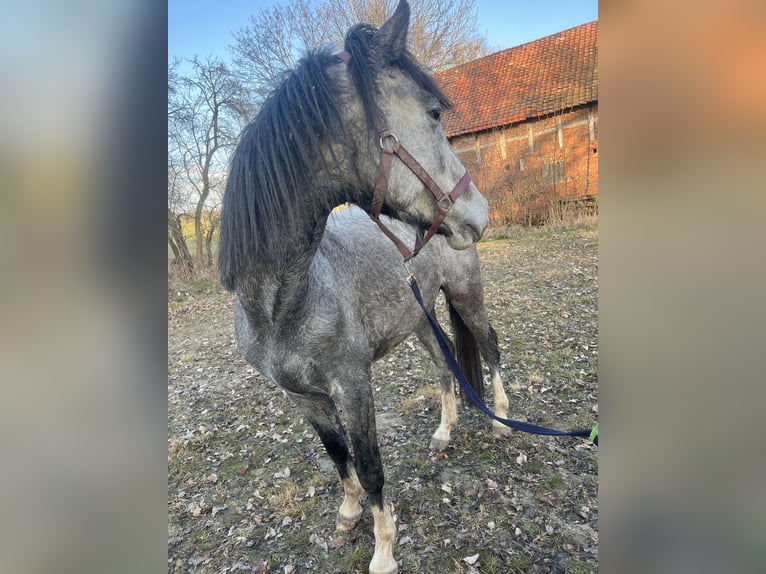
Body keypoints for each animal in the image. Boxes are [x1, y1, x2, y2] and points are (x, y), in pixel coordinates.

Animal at [216, 3, 510, 572]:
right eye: (433, 114)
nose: (480, 212)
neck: (283, 305)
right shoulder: (303, 397)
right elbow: (338, 456)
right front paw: (349, 513)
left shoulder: (352, 386)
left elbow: (371, 464)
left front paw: (384, 551)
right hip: (421, 319)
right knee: (445, 365)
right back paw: (444, 432)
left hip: (467, 297)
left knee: (488, 346)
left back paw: (504, 421)